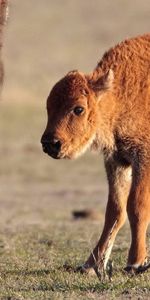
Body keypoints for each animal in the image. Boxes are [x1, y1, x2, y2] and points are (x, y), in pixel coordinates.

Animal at [41, 34, 150, 274]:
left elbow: (136, 206)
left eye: (78, 108)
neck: (119, 94)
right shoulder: (117, 160)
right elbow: (115, 210)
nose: (50, 144)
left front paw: (135, 262)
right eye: (48, 107)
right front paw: (91, 265)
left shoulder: (143, 159)